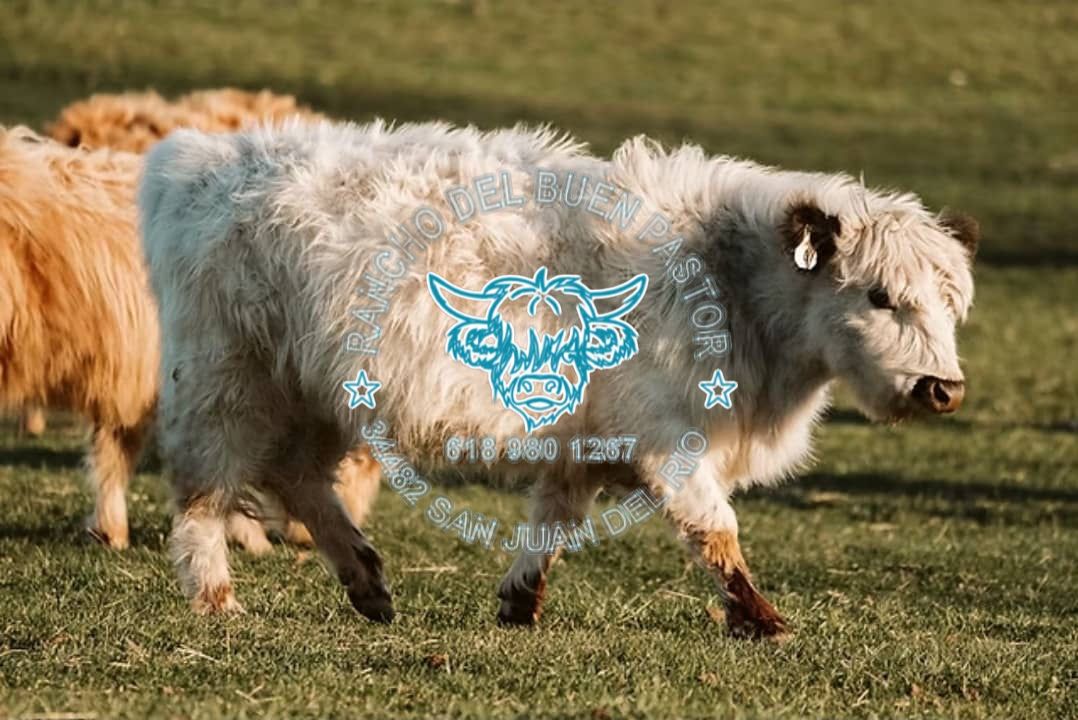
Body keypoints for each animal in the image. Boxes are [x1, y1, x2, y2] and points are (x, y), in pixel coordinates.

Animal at [139, 120, 976, 635]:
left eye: (950, 304)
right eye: (878, 295)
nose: (944, 388)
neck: (724, 277)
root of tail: (202, 159)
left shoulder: (588, 441)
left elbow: (552, 522)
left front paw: (519, 601)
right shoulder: (668, 440)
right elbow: (713, 528)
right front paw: (760, 619)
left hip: (308, 392)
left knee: (297, 476)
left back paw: (367, 580)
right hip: (221, 381)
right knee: (206, 490)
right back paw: (215, 596)